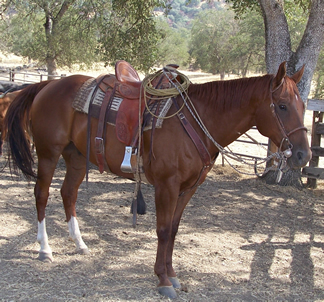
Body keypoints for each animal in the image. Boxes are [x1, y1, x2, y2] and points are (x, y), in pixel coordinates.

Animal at [3, 61, 310, 298]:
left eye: (304, 105)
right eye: (282, 106)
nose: (303, 155)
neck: (195, 120)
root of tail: (47, 86)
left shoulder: (188, 189)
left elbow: (173, 230)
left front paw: (172, 275)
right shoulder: (167, 186)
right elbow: (162, 230)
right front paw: (163, 281)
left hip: (76, 157)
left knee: (68, 194)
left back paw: (80, 244)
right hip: (48, 153)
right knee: (42, 195)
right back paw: (45, 249)